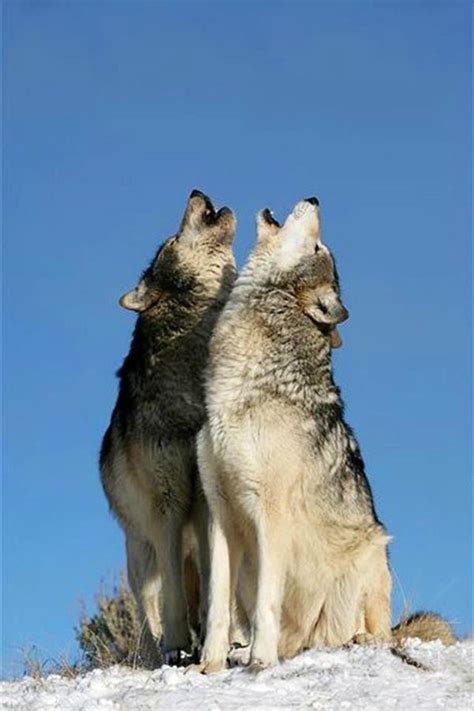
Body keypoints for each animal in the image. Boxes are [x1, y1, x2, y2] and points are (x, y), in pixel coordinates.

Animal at [100, 189, 236, 665]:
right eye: (172, 240)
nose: (197, 191)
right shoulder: (168, 503)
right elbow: (173, 594)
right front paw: (177, 644)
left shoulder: (210, 501)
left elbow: (217, 584)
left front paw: (218, 642)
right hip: (139, 552)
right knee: (147, 608)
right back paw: (149, 653)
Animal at [196, 198, 454, 673]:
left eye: (319, 246)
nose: (315, 199)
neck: (240, 386)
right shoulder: (219, 513)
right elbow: (215, 606)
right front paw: (210, 664)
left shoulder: (271, 512)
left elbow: (267, 602)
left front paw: (260, 662)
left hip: (372, 550)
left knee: (378, 633)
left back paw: (350, 640)